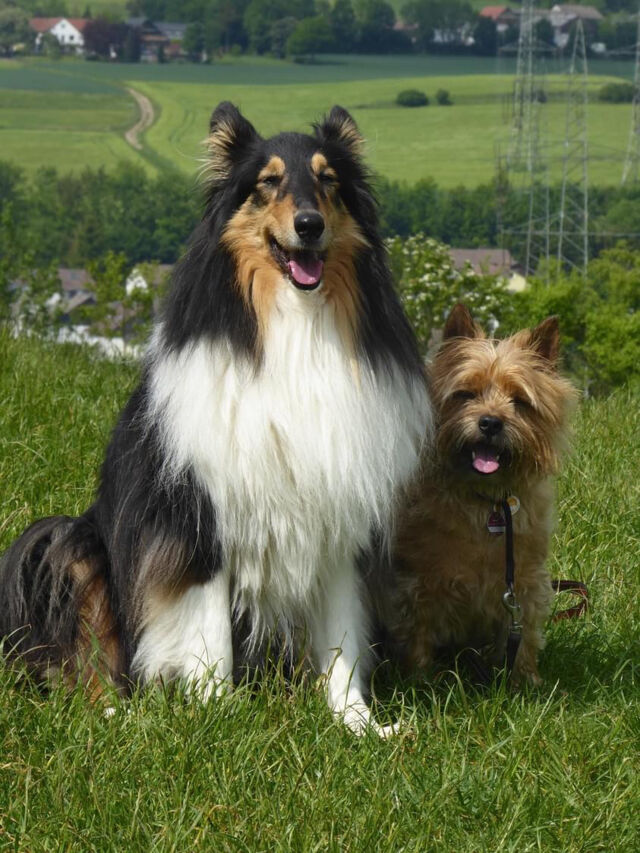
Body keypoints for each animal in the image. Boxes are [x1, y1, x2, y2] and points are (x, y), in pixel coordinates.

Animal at [0, 103, 431, 734]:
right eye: (268, 182)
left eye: (328, 180)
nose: (309, 225)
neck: (294, 327)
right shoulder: (201, 519)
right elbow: (209, 637)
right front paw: (218, 717)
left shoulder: (338, 523)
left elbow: (342, 640)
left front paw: (358, 723)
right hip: (69, 546)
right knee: (92, 671)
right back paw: (123, 718)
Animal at [379, 303, 577, 685]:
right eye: (465, 394)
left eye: (519, 401)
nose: (490, 422)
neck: (485, 501)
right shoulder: (418, 582)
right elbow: (417, 631)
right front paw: (419, 681)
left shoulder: (525, 582)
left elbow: (524, 633)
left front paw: (525, 682)